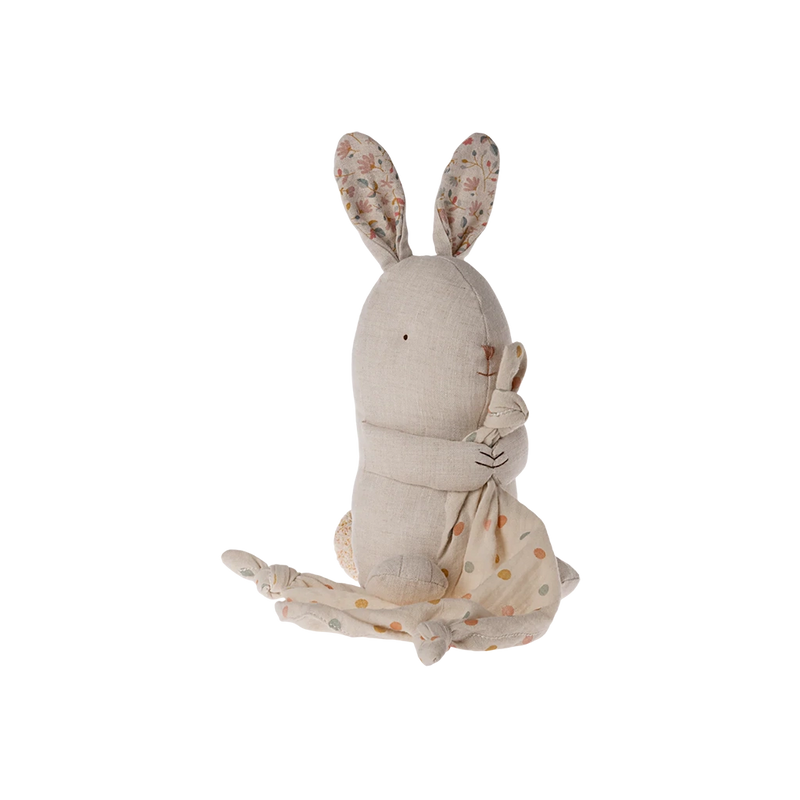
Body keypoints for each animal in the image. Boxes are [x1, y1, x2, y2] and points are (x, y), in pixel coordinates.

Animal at [334, 129, 532, 605]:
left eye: (499, 320)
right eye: (407, 338)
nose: (488, 352)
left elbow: (521, 448)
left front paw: (500, 453)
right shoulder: (379, 432)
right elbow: (412, 454)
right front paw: (473, 460)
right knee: (398, 576)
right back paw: (406, 578)